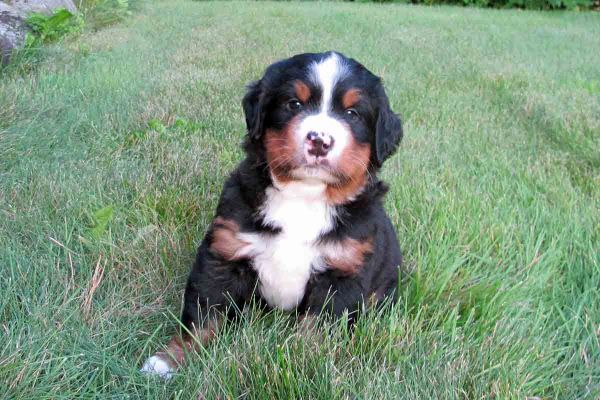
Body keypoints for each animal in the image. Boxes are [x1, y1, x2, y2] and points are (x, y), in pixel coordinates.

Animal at [141, 51, 404, 380]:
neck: (303, 197)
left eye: (353, 113)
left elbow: (317, 331)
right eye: (294, 104)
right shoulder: (224, 254)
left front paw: (304, 365)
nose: (320, 140)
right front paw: (170, 359)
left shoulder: (341, 273)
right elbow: (203, 315)